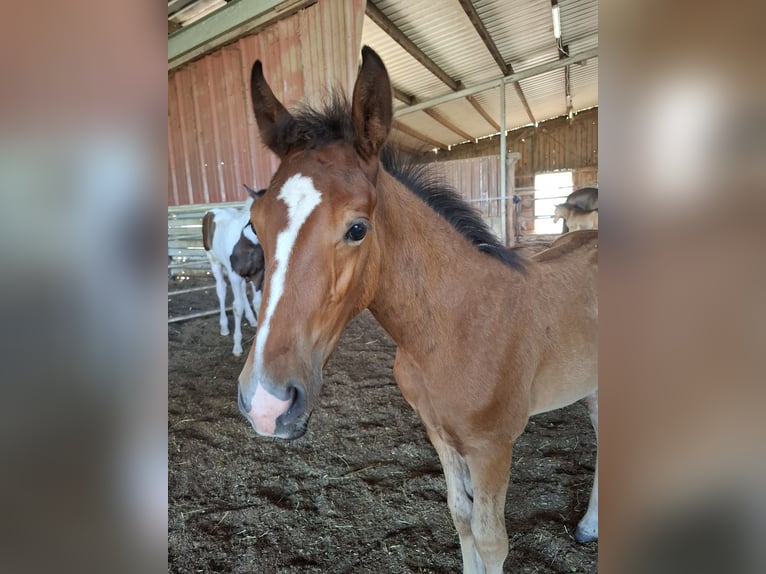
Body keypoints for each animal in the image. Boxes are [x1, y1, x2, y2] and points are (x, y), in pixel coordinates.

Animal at [201, 186, 265, 356]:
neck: (248, 242)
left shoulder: (257, 274)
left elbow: (257, 303)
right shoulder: (234, 274)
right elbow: (237, 307)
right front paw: (237, 346)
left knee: (242, 291)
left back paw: (251, 319)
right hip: (214, 262)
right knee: (221, 290)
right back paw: (224, 327)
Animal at [237, 46, 598, 573]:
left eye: (358, 229)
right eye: (254, 223)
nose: (267, 404)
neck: (453, 328)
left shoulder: (493, 448)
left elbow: (492, 541)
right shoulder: (439, 433)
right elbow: (460, 517)